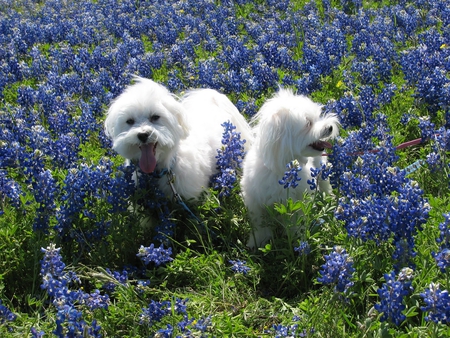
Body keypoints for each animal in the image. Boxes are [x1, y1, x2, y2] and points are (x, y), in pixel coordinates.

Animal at [241, 88, 340, 248]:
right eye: (308, 123)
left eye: (317, 117)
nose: (329, 127)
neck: (281, 168)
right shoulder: (255, 200)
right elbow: (259, 224)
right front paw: (258, 241)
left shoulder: (298, 200)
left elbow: (296, 222)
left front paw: (297, 239)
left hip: (321, 169)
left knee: (325, 185)